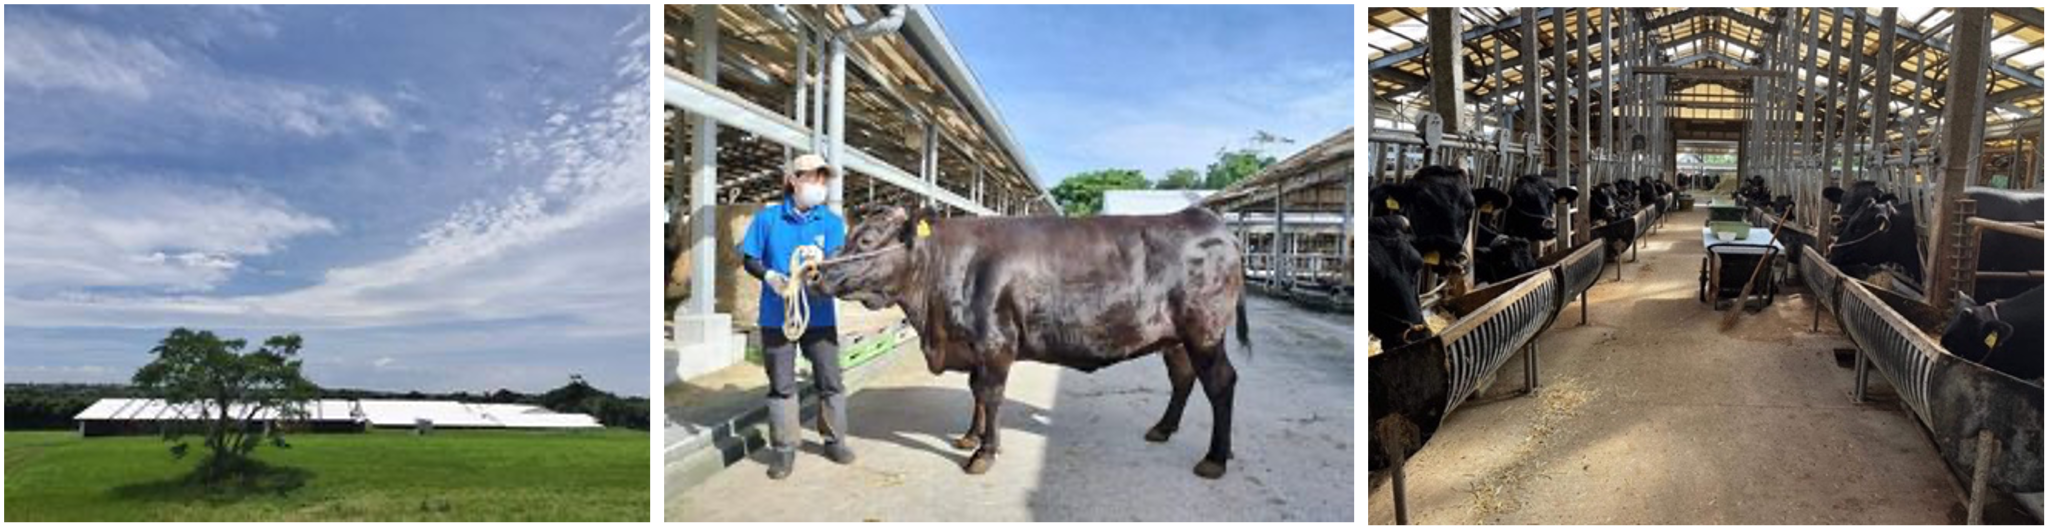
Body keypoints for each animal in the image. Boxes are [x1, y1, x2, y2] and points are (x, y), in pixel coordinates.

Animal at [811, 206, 1245, 481]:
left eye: (866, 239)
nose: (816, 274)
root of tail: (1207, 219)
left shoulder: (995, 342)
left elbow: (990, 394)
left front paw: (983, 453)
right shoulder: (974, 347)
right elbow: (976, 392)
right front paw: (970, 436)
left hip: (1204, 333)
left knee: (1220, 383)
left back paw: (1215, 459)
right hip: (1174, 339)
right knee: (1183, 378)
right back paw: (1164, 429)